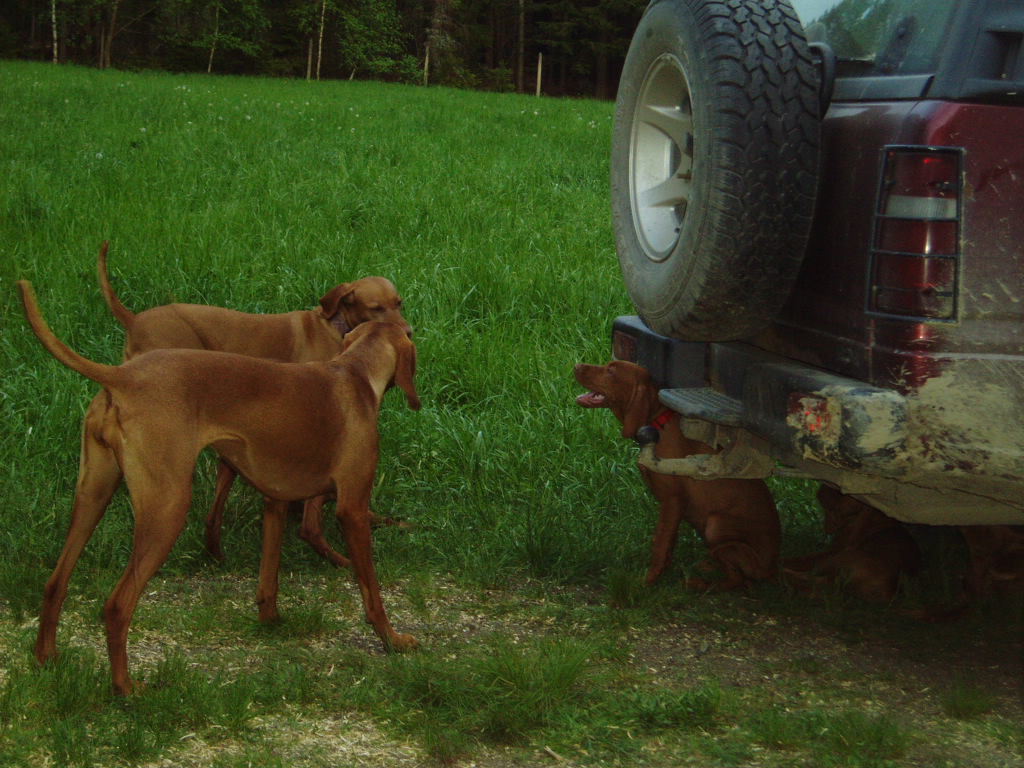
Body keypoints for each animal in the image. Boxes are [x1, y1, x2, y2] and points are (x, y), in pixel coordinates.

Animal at [573, 360, 778, 589]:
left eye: (611, 371)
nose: (577, 365)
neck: (657, 423)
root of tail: (773, 569)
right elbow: (666, 541)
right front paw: (663, 572)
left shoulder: (673, 498)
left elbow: (660, 542)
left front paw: (647, 582)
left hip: (715, 526)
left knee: (737, 579)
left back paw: (700, 583)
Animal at [786, 487, 925, 606]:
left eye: (829, 509)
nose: (826, 527)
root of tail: (888, 591)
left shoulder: (834, 550)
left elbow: (801, 559)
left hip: (841, 558)